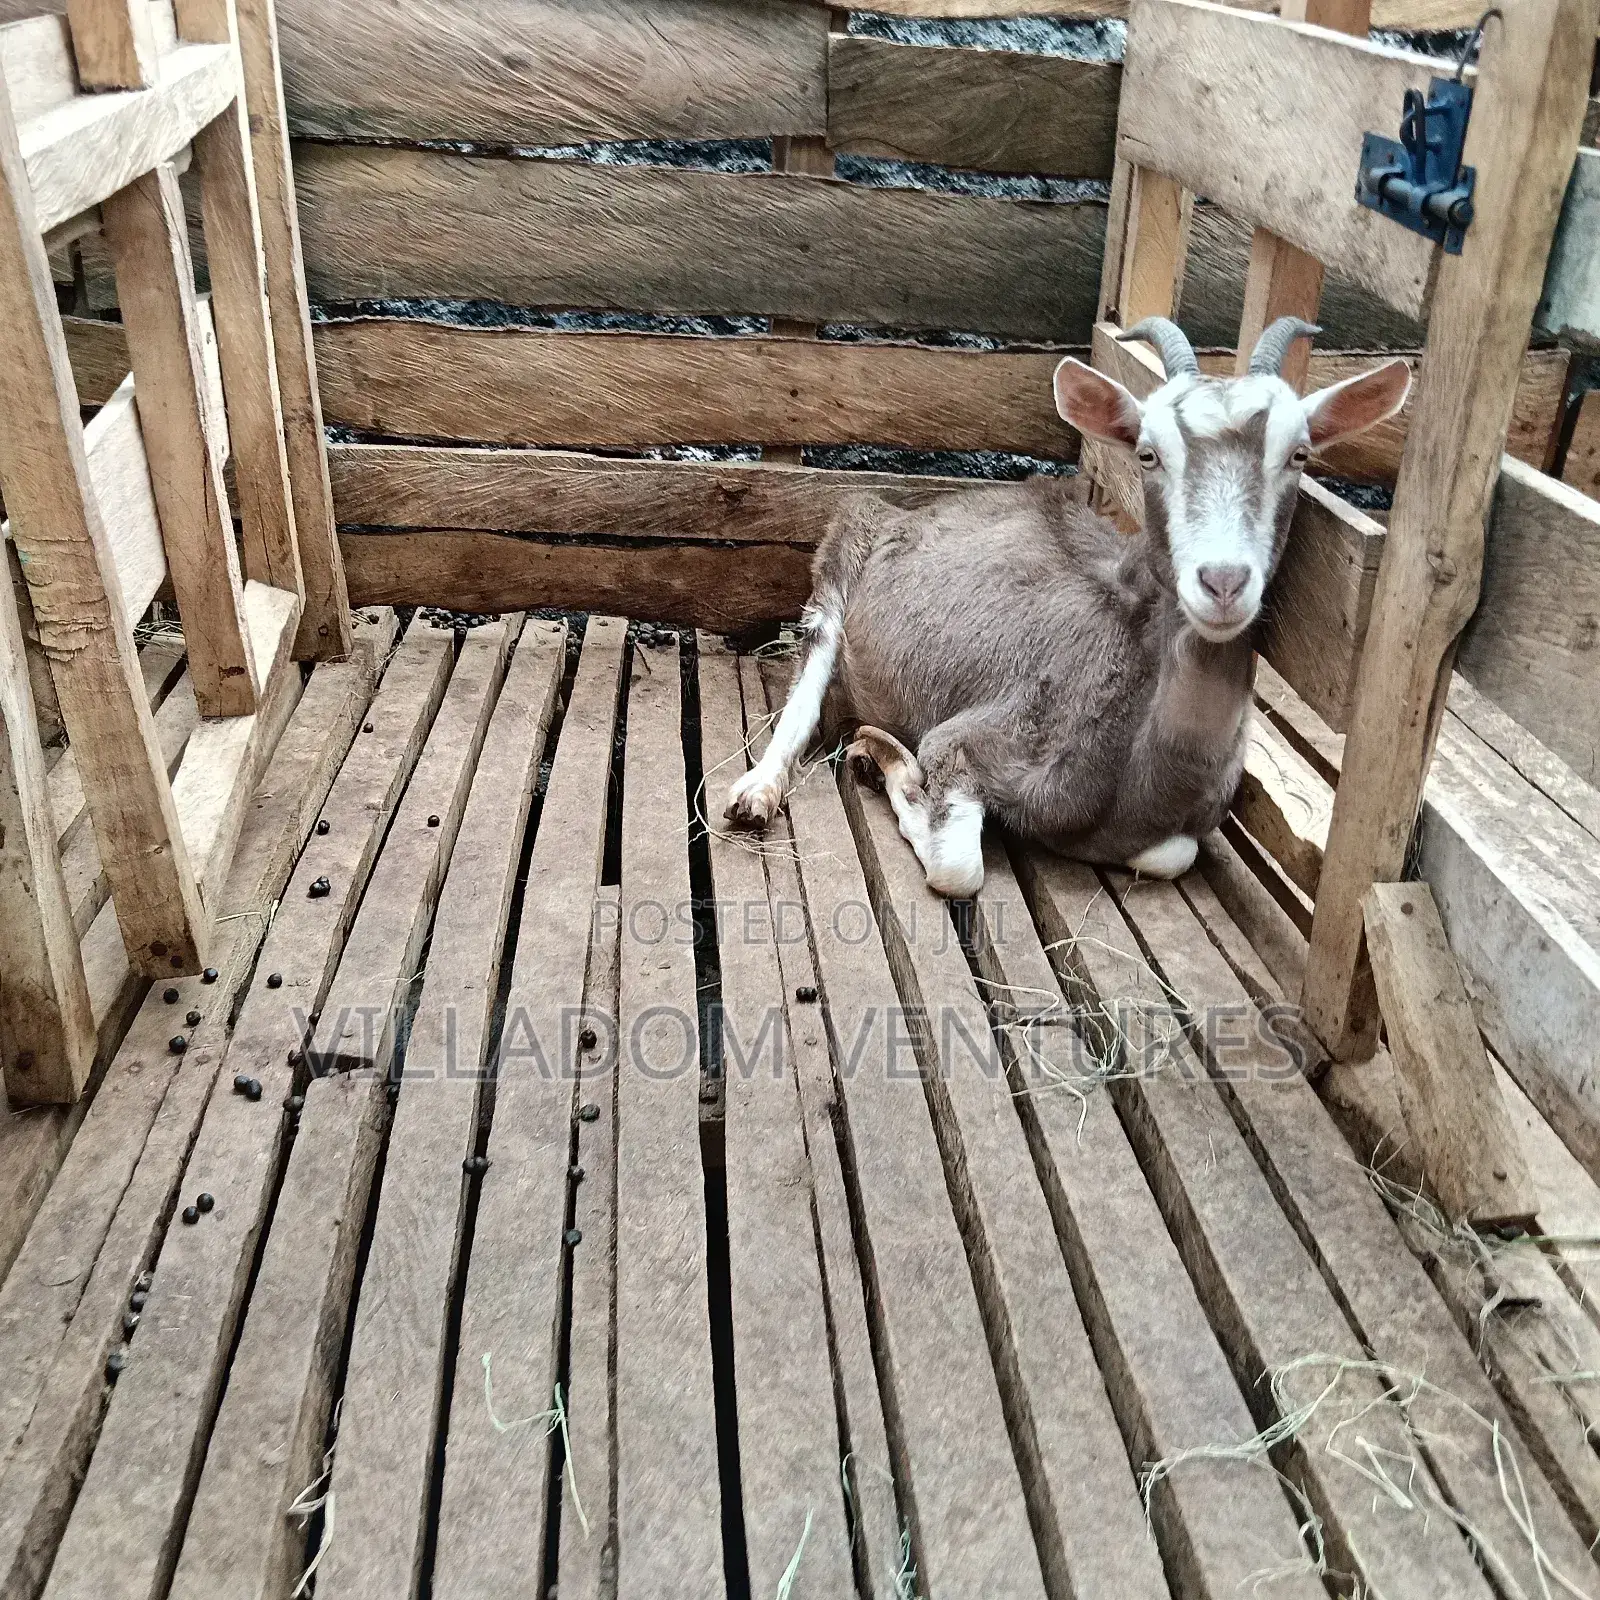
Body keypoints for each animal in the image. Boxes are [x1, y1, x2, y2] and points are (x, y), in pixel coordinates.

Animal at [726, 316, 1411, 898]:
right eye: (1148, 453)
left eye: (1299, 454)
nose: (1222, 583)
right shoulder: (968, 740)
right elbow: (958, 868)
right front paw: (881, 759)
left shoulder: (1175, 831)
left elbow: (1173, 854)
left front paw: (874, 756)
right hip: (845, 547)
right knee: (809, 674)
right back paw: (755, 793)